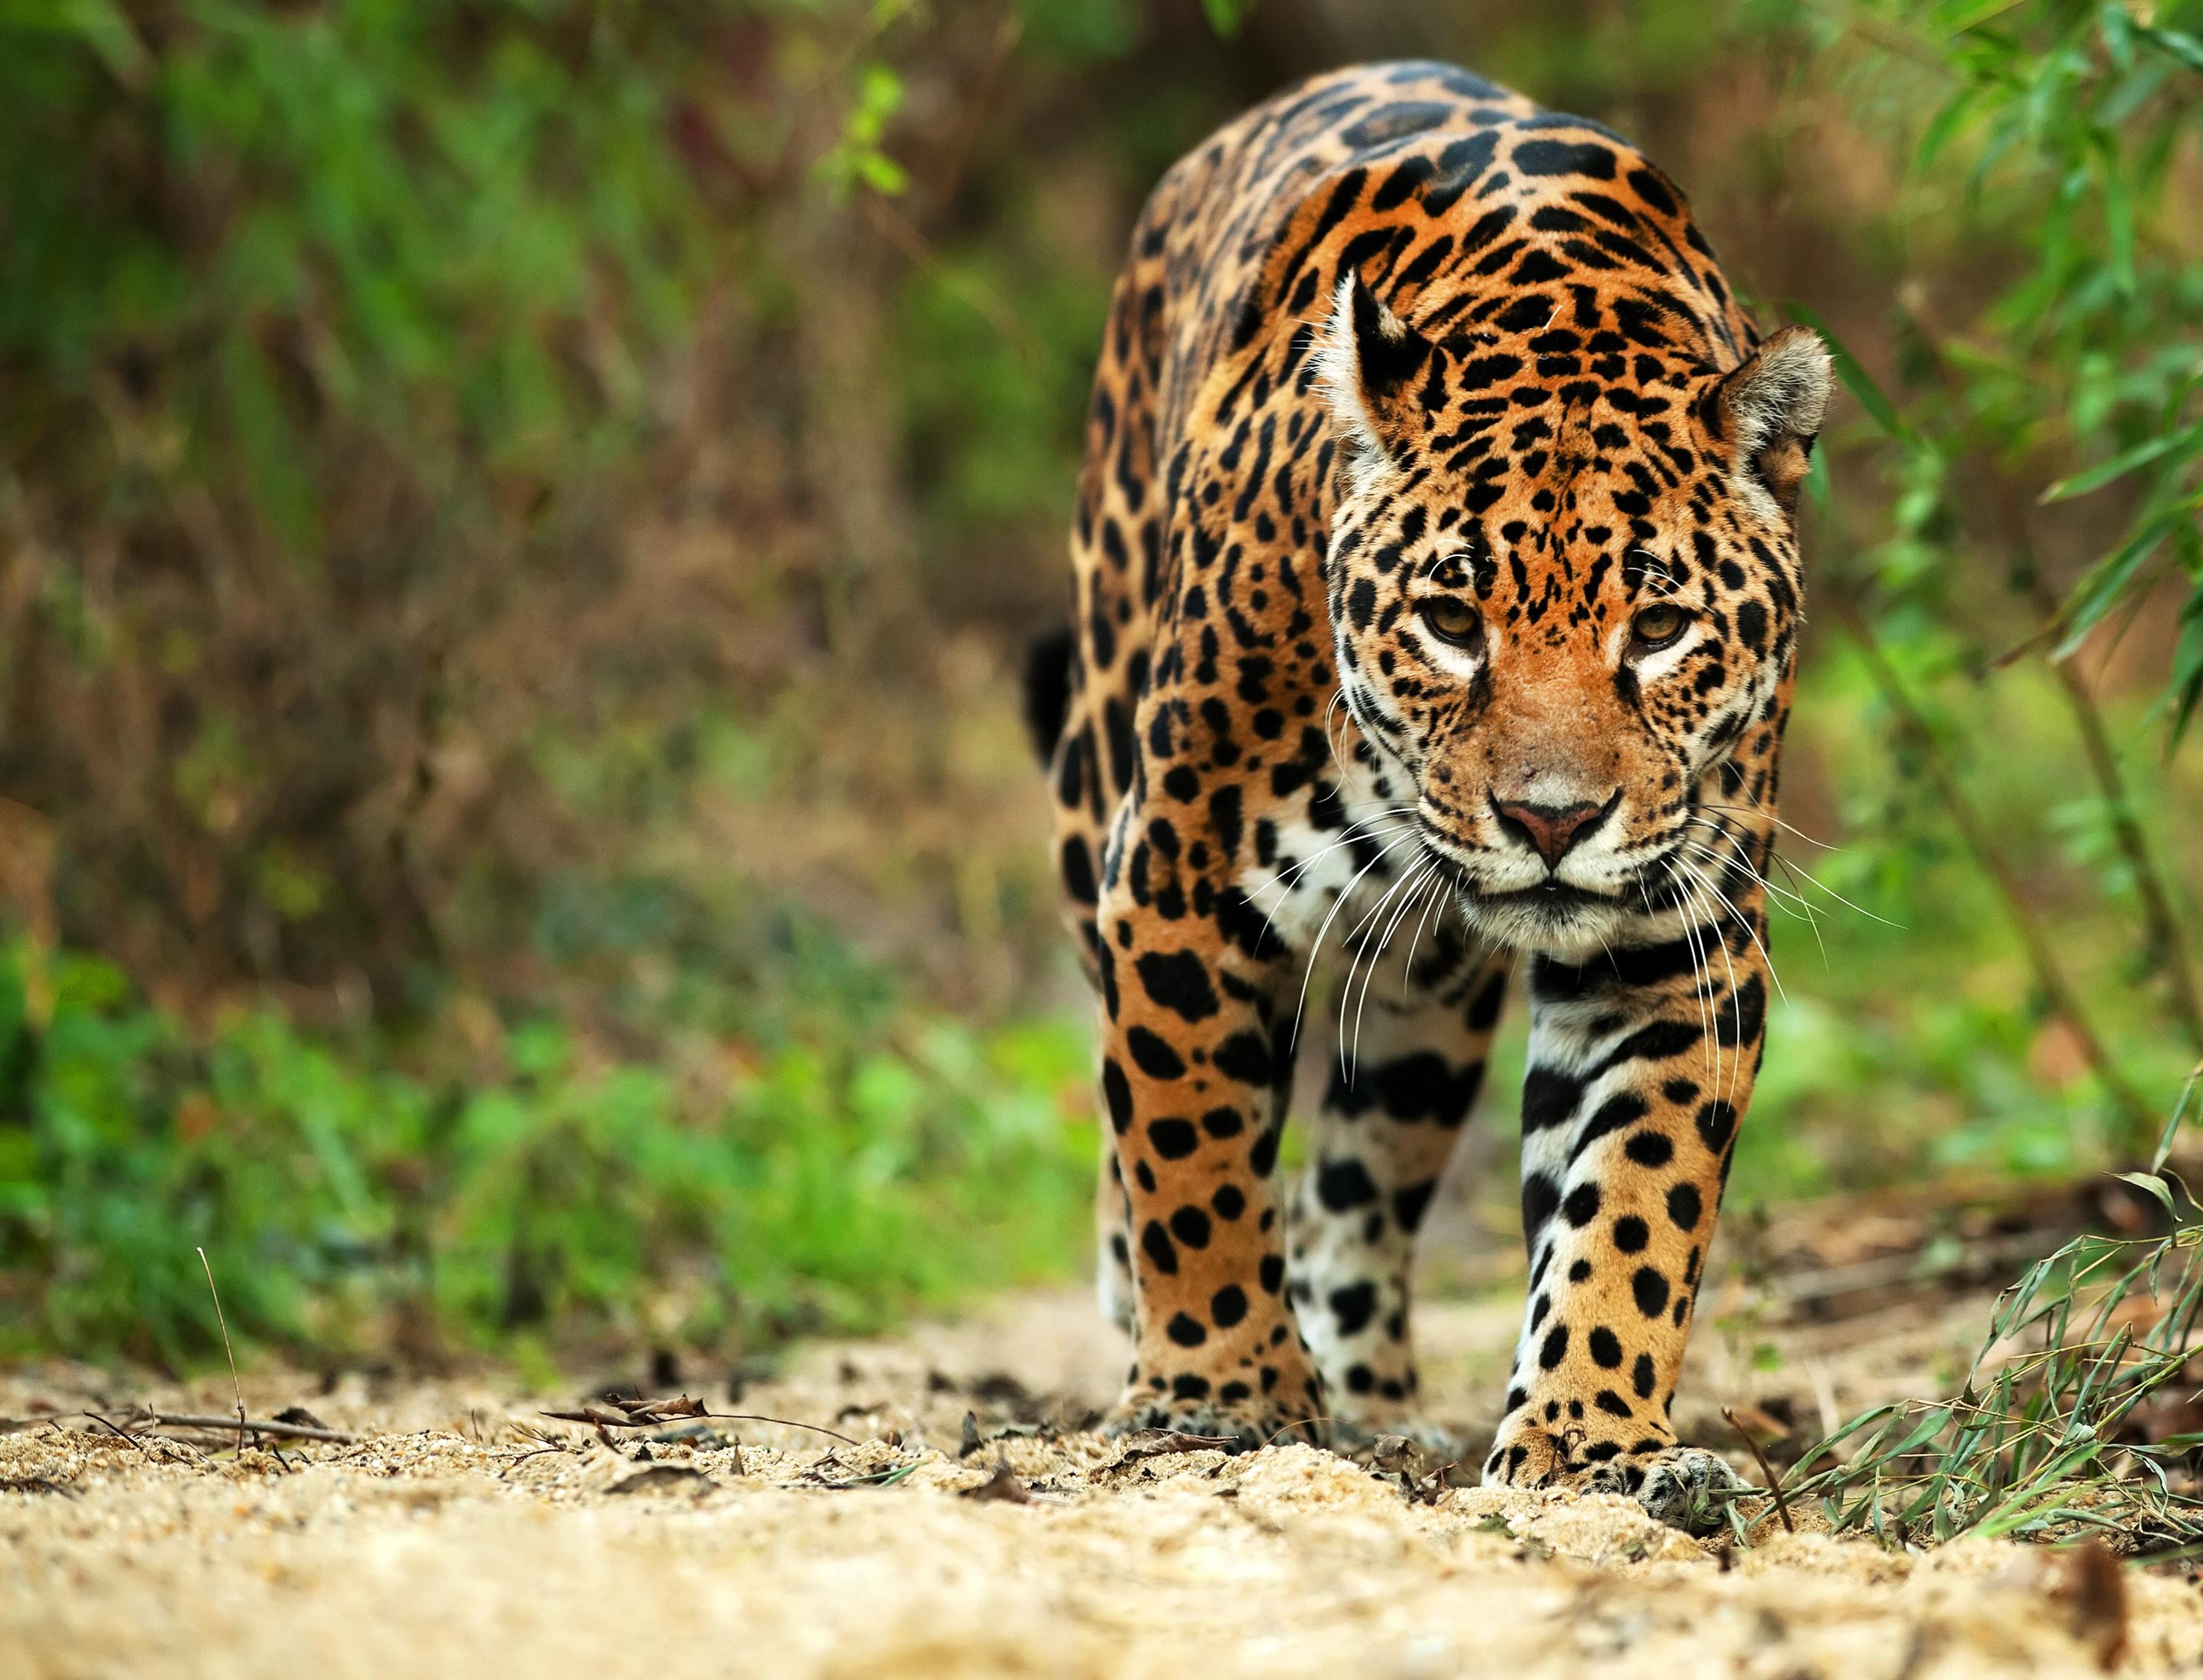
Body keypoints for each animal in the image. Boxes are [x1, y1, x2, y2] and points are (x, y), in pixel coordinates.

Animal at [1022, 60, 1830, 1527]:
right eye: (1451, 622)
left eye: (1660, 628)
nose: (1554, 821)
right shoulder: (1175, 875)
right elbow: (1187, 1141)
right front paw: (1220, 1394)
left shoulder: (1672, 943)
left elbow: (1635, 1201)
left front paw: (1587, 1440)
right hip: (1092, 767)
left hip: (1422, 1003)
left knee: (1359, 1184)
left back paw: (1378, 1400)